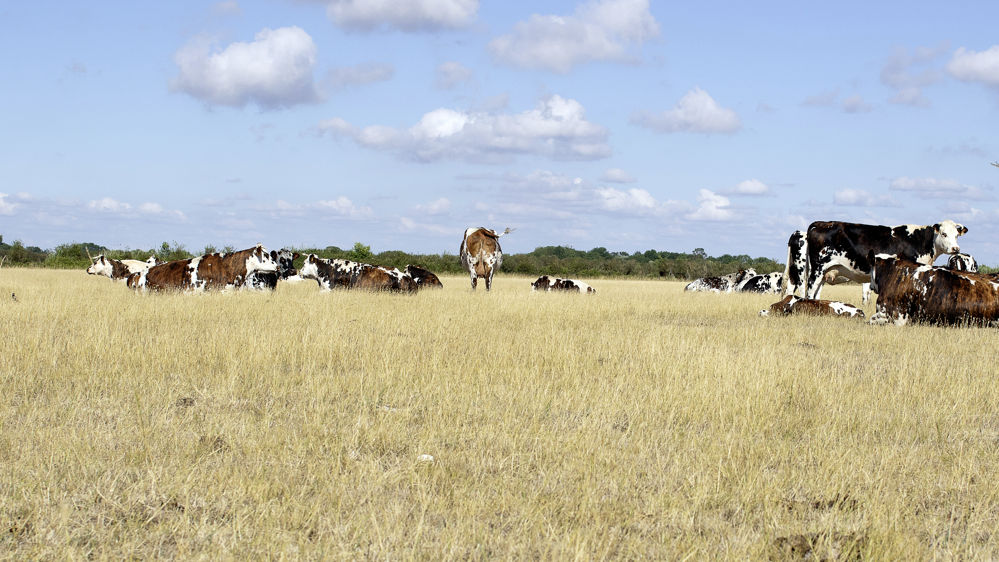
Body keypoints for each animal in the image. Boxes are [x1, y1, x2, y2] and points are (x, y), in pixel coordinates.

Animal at [800, 220, 966, 300]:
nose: (955, 248)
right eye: (944, 234)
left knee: (816, 293)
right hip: (817, 269)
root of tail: (819, 223)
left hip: (825, 271)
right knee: (810, 290)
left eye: (956, 235)